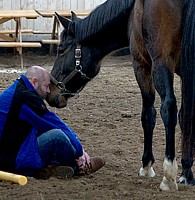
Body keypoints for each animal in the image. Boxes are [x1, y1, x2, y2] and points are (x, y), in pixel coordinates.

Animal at [46, 0, 195, 191]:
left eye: (61, 49)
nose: (52, 91)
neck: (132, 10)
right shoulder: (185, 72)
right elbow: (186, 116)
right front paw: (186, 172)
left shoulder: (141, 65)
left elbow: (149, 115)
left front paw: (147, 166)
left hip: (161, 62)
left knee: (168, 107)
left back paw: (168, 176)